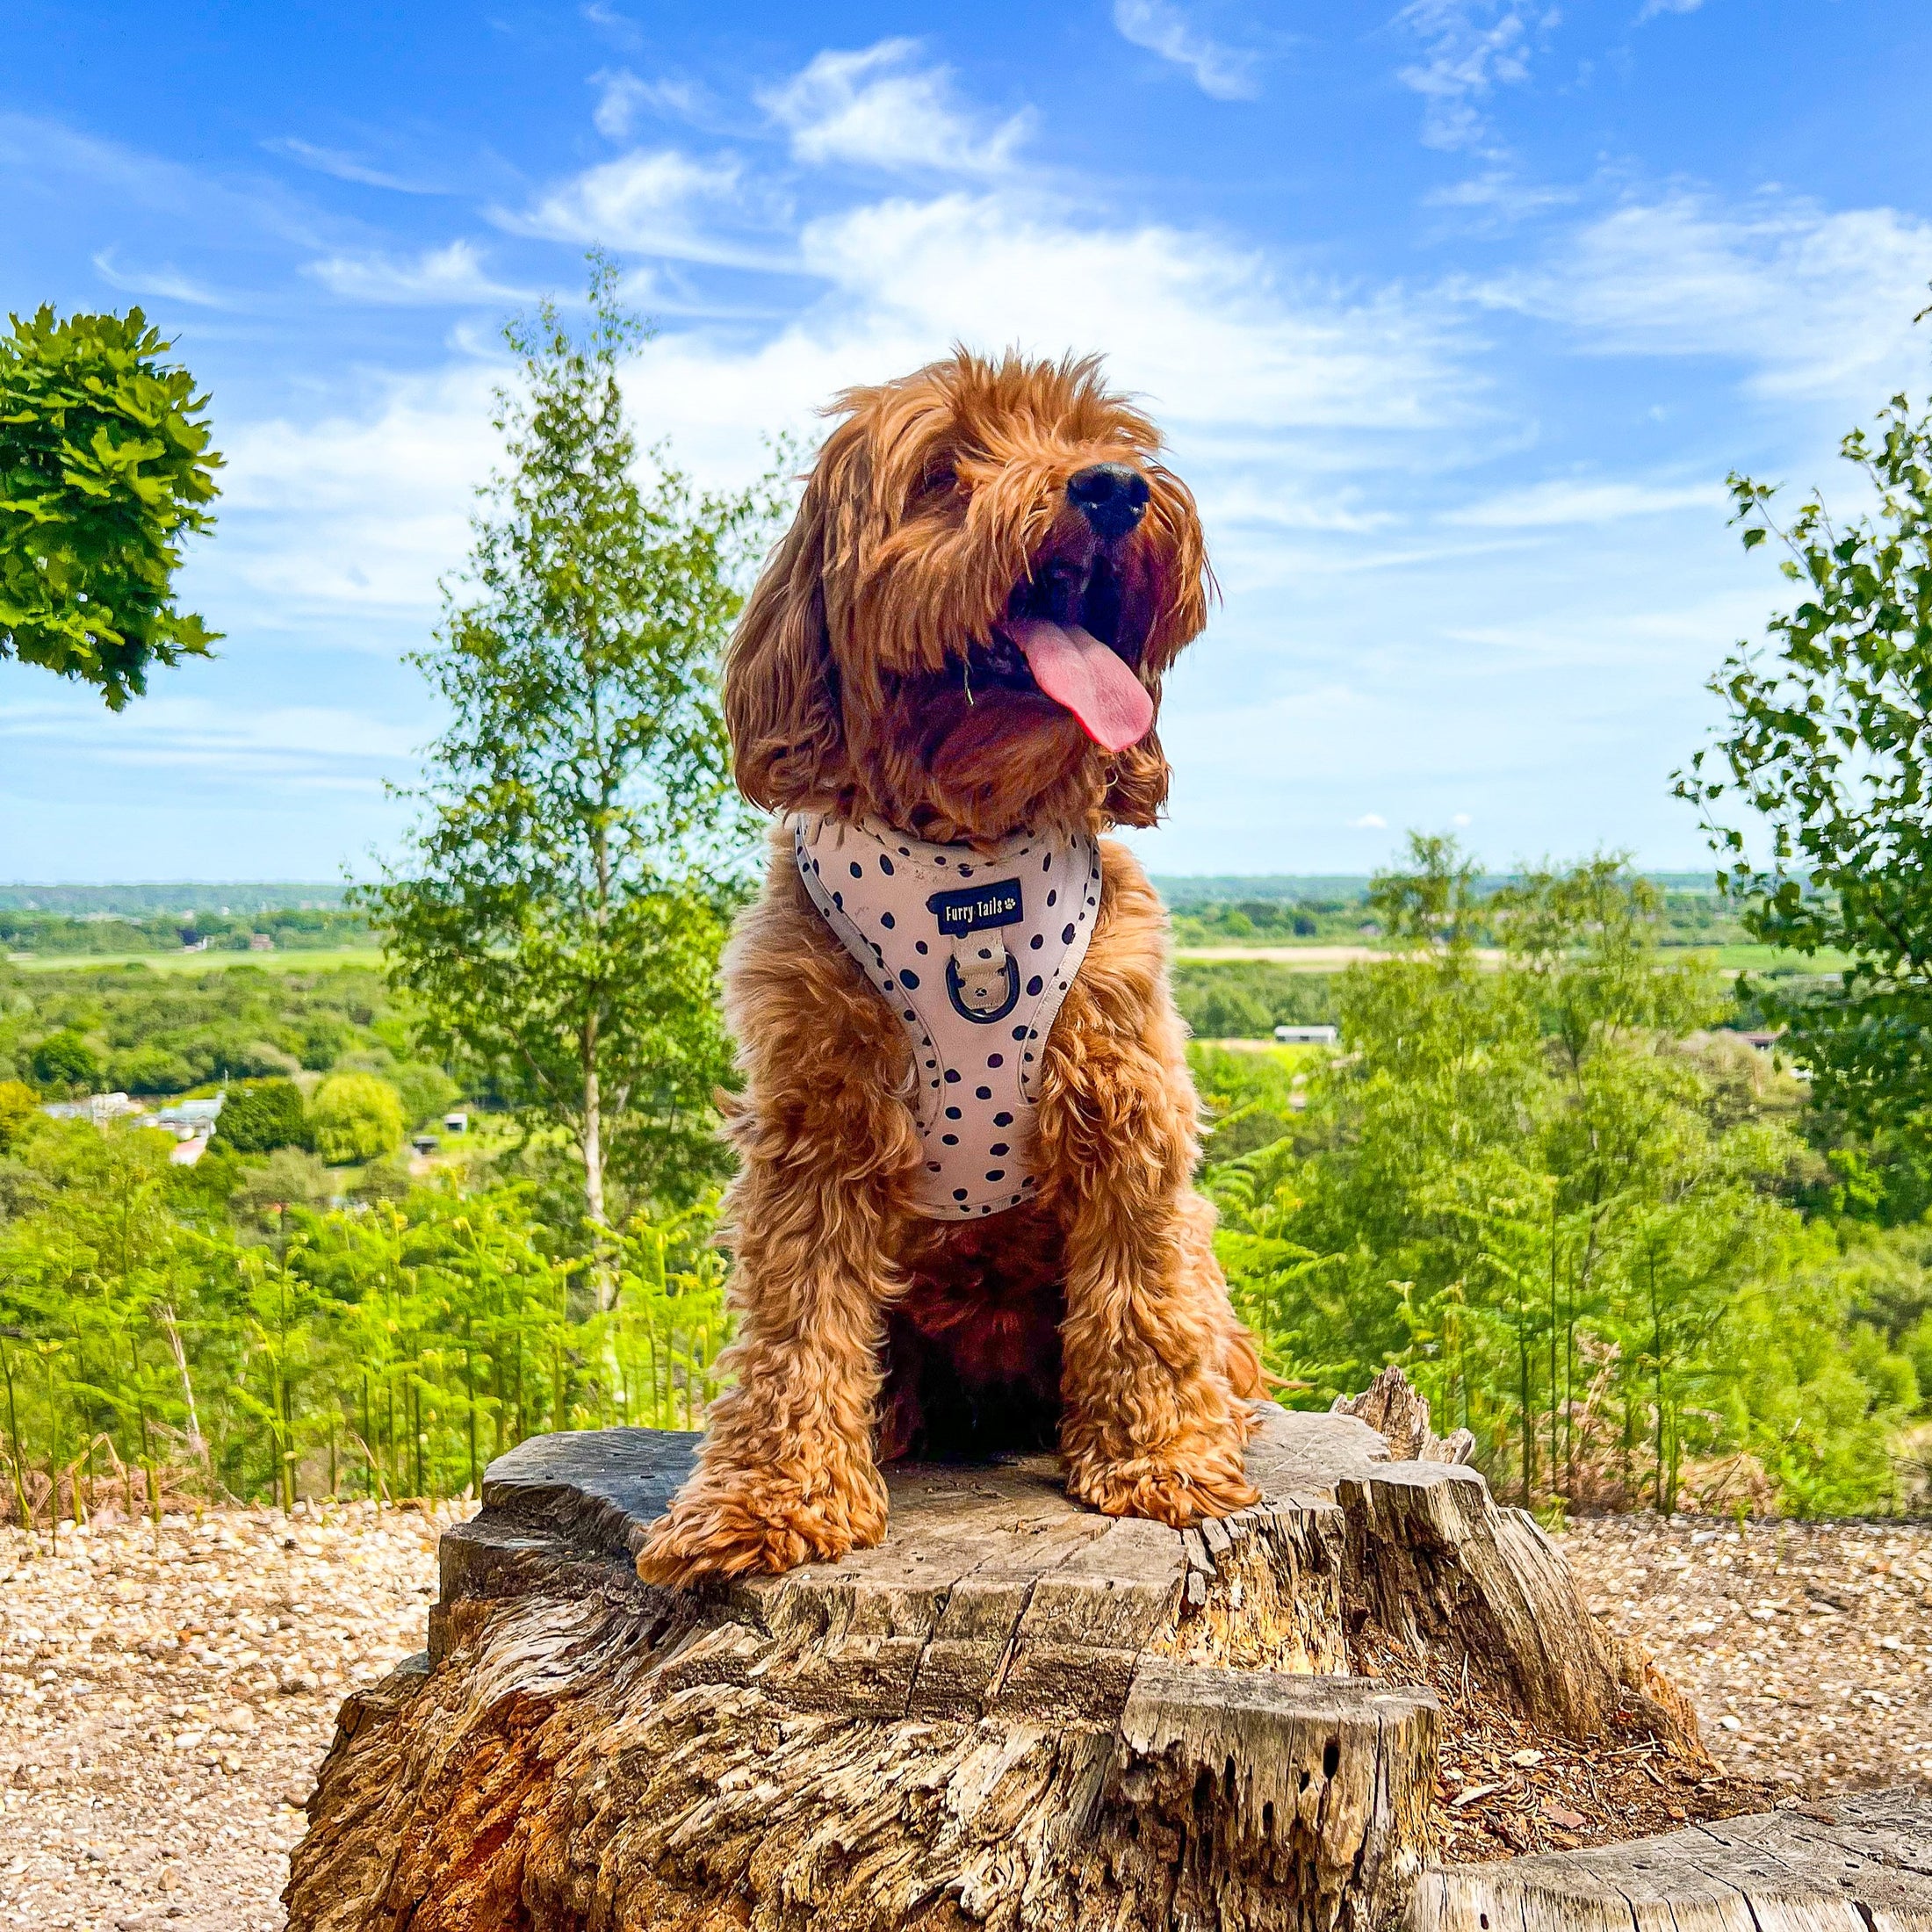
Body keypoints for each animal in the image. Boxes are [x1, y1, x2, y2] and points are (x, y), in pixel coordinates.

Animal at [638, 348, 1267, 1584]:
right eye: (942, 470)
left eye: (1098, 438)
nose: (1114, 489)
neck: (965, 858)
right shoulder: (817, 1122)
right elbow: (795, 1322)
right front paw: (767, 1500)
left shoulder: (1124, 1094)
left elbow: (1142, 1291)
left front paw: (1162, 1459)